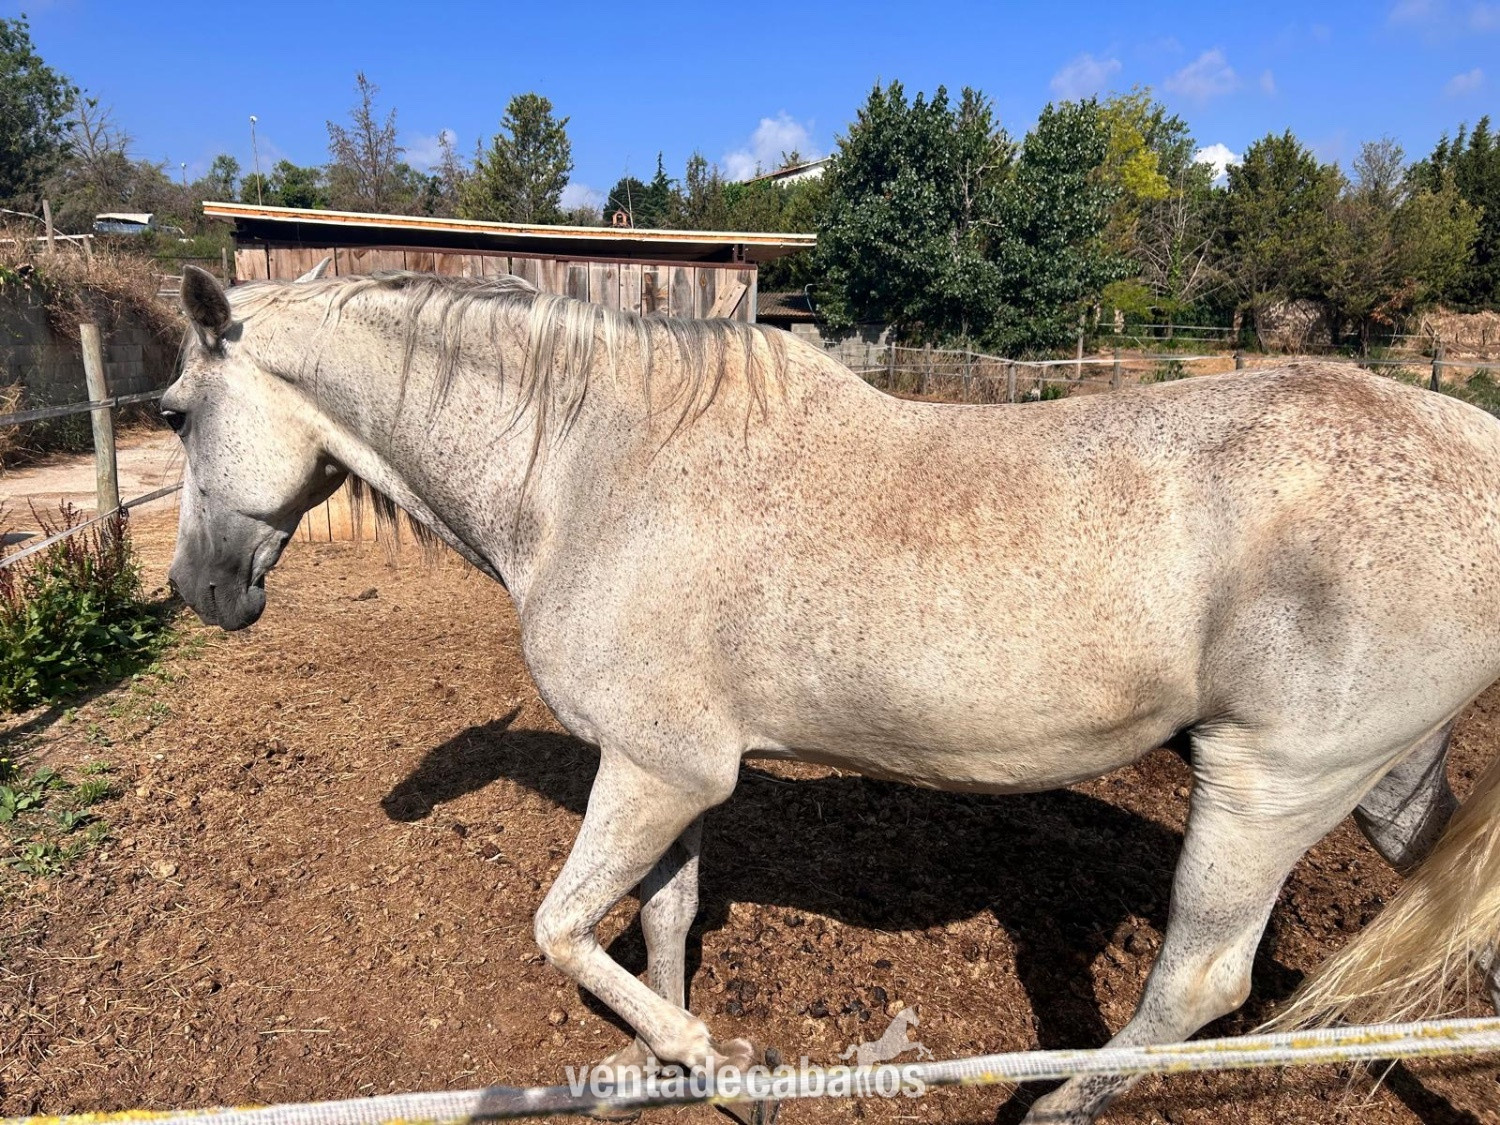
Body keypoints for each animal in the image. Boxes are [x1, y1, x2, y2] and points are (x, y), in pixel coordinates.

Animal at [165, 263, 1500, 1123]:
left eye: (175, 416)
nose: (196, 590)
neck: (598, 472)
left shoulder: (653, 771)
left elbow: (563, 932)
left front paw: (715, 1063)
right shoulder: (675, 776)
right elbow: (661, 920)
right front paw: (673, 1074)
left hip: (1268, 786)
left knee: (1199, 983)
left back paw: (1052, 1108)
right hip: (1382, 782)